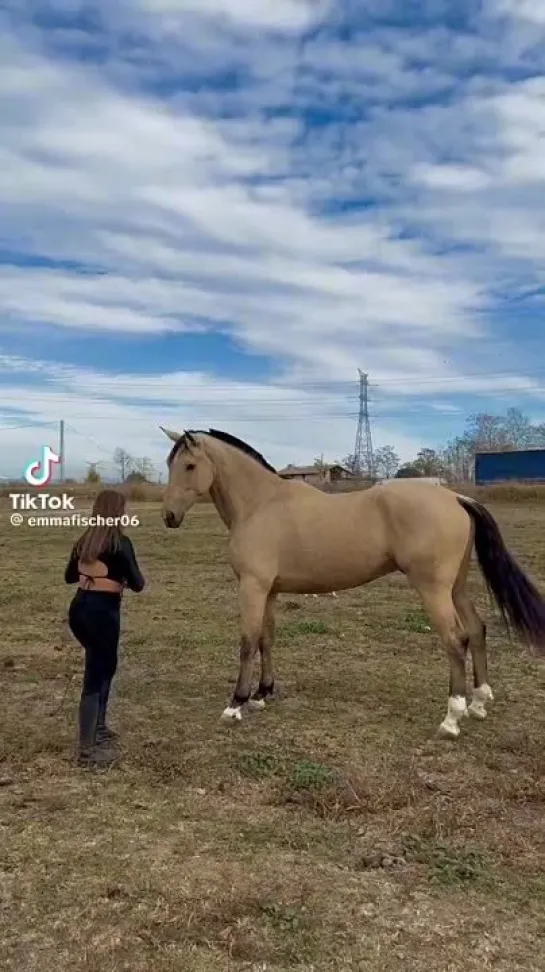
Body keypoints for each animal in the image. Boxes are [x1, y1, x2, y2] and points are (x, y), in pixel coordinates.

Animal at [159, 426, 544, 736]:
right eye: (169, 465)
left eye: (189, 466)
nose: (169, 516)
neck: (261, 504)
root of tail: (456, 498)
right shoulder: (269, 590)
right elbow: (267, 639)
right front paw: (262, 694)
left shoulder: (252, 586)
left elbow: (247, 642)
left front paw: (236, 704)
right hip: (457, 587)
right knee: (477, 630)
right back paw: (478, 703)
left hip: (433, 590)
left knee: (456, 640)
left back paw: (452, 718)